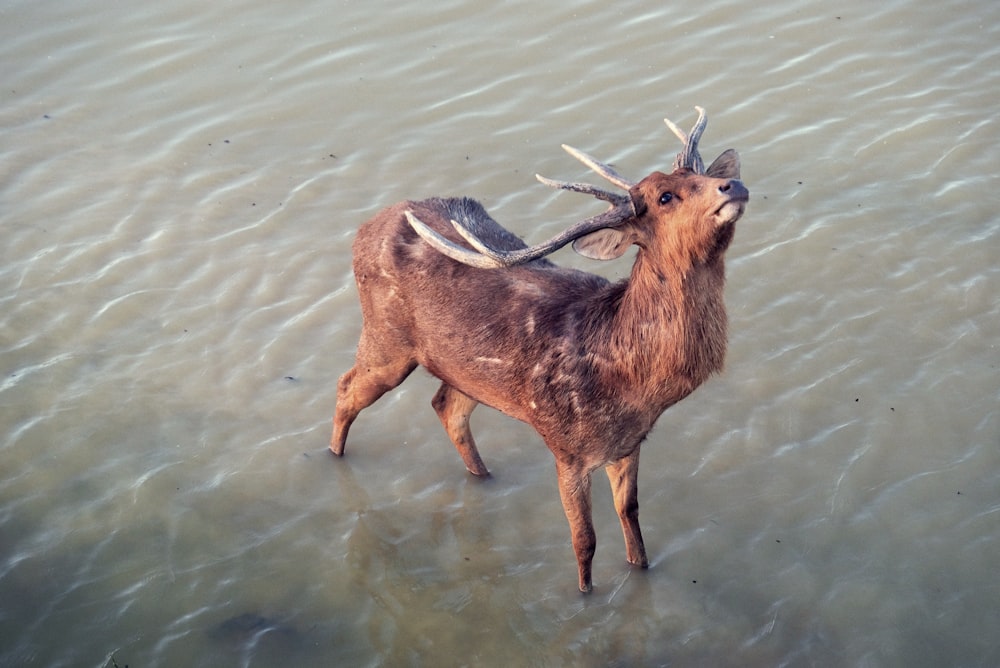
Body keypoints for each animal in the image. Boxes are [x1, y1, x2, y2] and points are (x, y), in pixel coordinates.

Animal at [332, 107, 748, 592]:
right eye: (665, 196)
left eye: (699, 174)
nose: (732, 185)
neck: (630, 382)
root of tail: (363, 228)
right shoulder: (565, 448)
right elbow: (584, 541)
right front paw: (585, 594)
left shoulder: (628, 446)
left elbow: (632, 521)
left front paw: (640, 570)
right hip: (386, 339)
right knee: (346, 388)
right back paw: (333, 457)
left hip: (465, 373)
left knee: (445, 406)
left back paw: (482, 476)